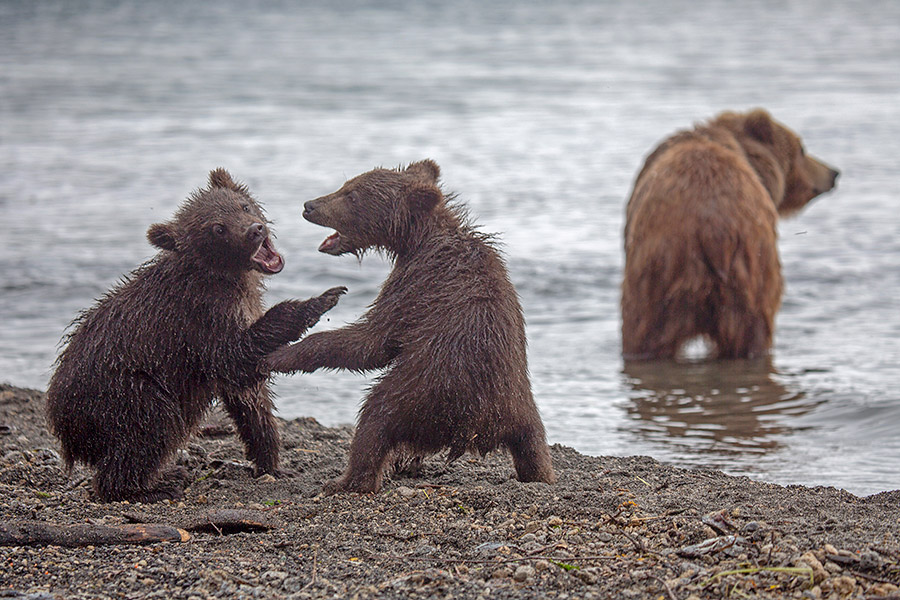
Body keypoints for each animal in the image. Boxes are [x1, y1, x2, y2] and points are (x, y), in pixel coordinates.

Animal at [47, 169, 346, 502]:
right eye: (217, 228)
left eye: (243, 206)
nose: (255, 230)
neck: (226, 277)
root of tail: (64, 428)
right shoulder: (202, 319)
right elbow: (236, 357)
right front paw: (322, 299)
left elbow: (250, 402)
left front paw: (271, 462)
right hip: (121, 392)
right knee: (150, 427)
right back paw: (150, 487)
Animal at [266, 158, 556, 492]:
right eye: (346, 184)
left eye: (352, 195)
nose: (309, 205)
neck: (418, 238)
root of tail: (481, 428)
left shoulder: (416, 283)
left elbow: (373, 341)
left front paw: (280, 355)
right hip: (523, 408)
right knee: (534, 447)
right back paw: (540, 474)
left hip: (424, 394)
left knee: (374, 419)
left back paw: (346, 480)